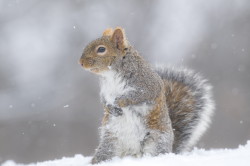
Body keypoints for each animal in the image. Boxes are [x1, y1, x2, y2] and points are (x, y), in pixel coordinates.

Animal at [79, 26, 215, 163]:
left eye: (101, 49)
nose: (81, 62)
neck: (110, 74)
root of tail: (132, 153)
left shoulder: (148, 86)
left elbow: (137, 96)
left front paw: (120, 101)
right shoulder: (105, 91)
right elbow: (103, 100)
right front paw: (110, 108)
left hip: (156, 142)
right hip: (110, 144)